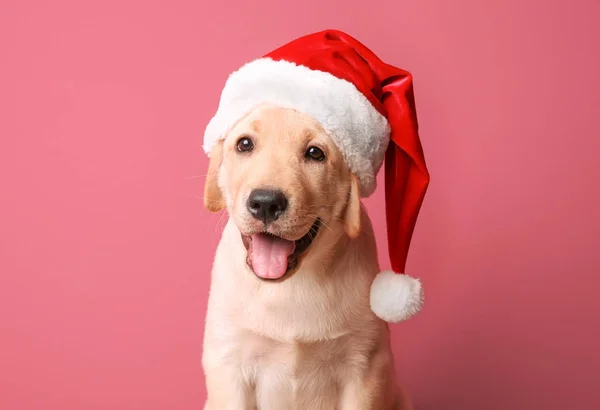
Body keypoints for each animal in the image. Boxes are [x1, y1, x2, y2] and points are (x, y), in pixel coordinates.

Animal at [204, 104, 410, 408]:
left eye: (315, 153)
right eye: (244, 144)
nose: (266, 203)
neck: (288, 286)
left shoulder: (363, 366)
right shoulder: (230, 363)